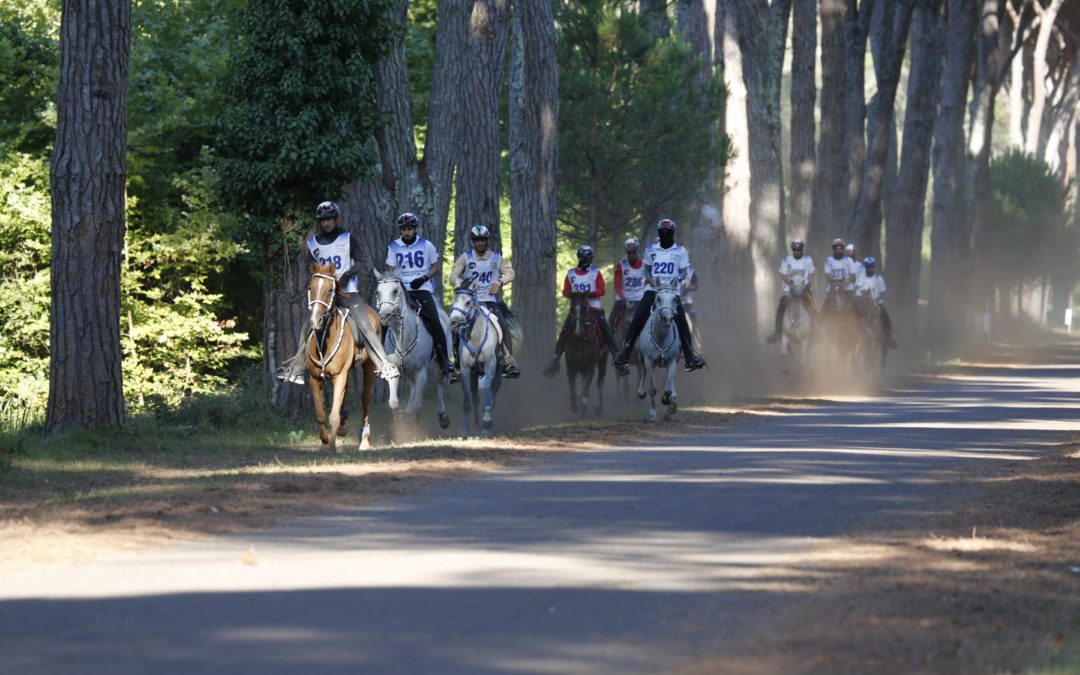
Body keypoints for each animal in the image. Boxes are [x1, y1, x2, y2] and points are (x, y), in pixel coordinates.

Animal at [304, 260, 380, 449]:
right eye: (310, 287)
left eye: (330, 290)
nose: (315, 321)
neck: (324, 342)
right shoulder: (314, 378)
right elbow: (321, 414)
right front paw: (325, 440)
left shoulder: (340, 376)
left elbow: (333, 416)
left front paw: (332, 445)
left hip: (369, 366)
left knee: (365, 399)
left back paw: (364, 440)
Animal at [375, 266, 451, 429]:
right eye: (378, 292)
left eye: (395, 291)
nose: (384, 316)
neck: (402, 339)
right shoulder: (394, 370)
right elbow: (393, 403)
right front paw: (399, 420)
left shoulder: (421, 371)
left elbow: (418, 406)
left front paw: (414, 427)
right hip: (409, 370)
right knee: (413, 386)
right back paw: (407, 411)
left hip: (438, 364)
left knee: (439, 384)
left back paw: (443, 417)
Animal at [447, 280, 501, 434]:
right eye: (453, 300)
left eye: (468, 302)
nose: (453, 322)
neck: (476, 338)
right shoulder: (466, 370)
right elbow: (467, 400)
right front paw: (465, 430)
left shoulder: (490, 367)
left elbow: (488, 392)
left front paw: (487, 423)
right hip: (474, 374)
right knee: (476, 398)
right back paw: (476, 427)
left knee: (493, 394)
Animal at [635, 280, 678, 421]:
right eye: (658, 298)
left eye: (674, 298)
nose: (667, 319)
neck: (661, 337)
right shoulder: (649, 361)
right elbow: (653, 389)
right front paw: (653, 414)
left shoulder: (672, 361)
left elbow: (668, 388)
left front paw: (667, 400)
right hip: (641, 357)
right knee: (643, 371)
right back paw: (641, 392)